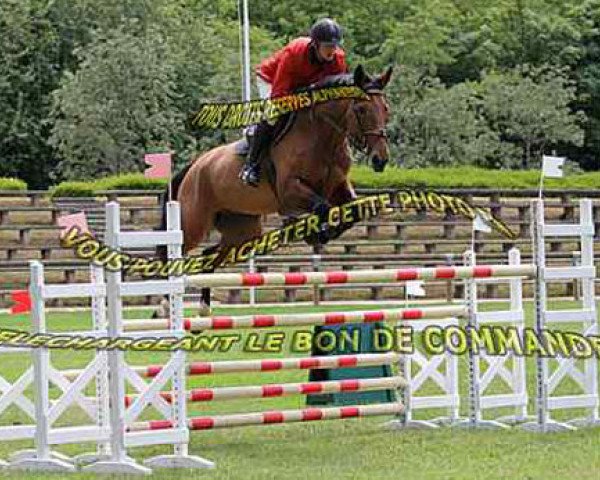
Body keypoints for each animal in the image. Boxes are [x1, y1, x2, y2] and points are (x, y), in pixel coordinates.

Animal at [154, 64, 394, 318]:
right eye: (361, 110)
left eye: (385, 109)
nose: (380, 160)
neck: (322, 136)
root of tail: (195, 165)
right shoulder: (290, 191)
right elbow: (322, 207)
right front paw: (314, 233)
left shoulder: (337, 186)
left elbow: (351, 211)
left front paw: (323, 233)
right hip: (193, 221)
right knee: (171, 250)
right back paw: (164, 305)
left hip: (243, 230)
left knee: (208, 255)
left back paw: (204, 308)